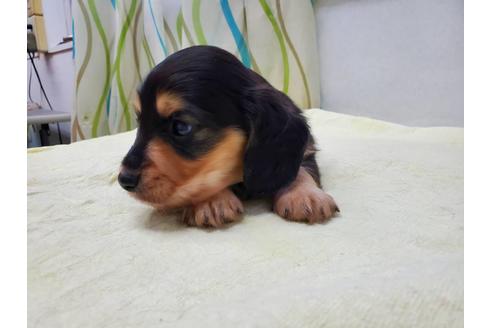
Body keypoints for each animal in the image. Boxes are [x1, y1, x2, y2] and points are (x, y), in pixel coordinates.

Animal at [118, 44, 338, 227]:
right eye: (140, 122)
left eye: (181, 127)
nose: (124, 180)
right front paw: (211, 201)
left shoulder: (306, 149)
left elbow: (299, 170)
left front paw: (306, 196)